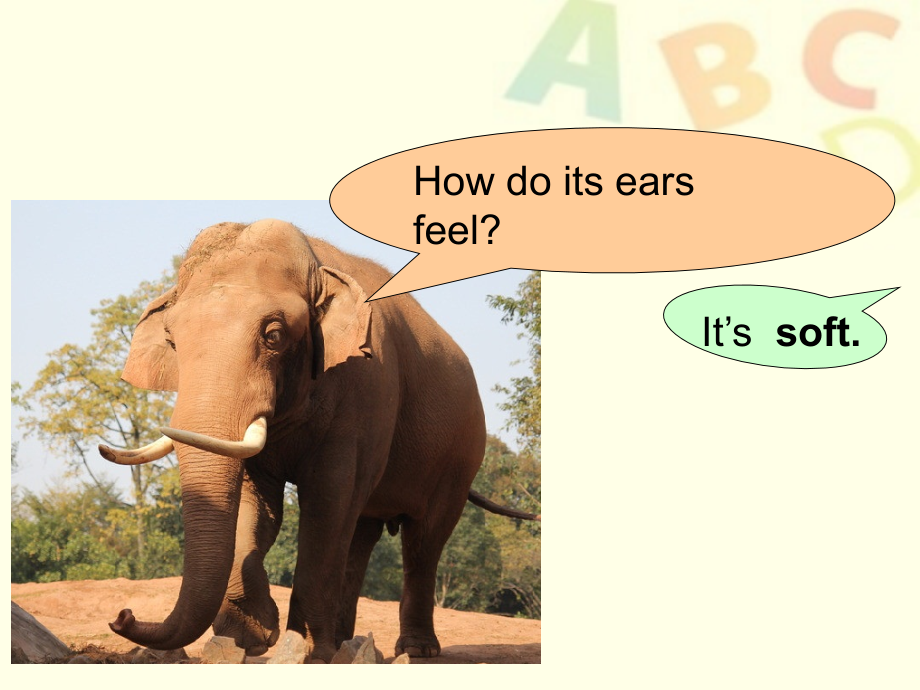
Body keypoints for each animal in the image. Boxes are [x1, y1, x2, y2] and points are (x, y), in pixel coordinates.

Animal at [97, 219, 537, 662]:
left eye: (273, 335)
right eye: (172, 341)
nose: (122, 616)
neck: (315, 266)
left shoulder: (365, 390)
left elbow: (329, 498)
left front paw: (305, 648)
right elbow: (258, 503)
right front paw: (250, 636)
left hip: (461, 456)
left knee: (423, 540)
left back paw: (415, 649)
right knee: (362, 533)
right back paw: (344, 641)